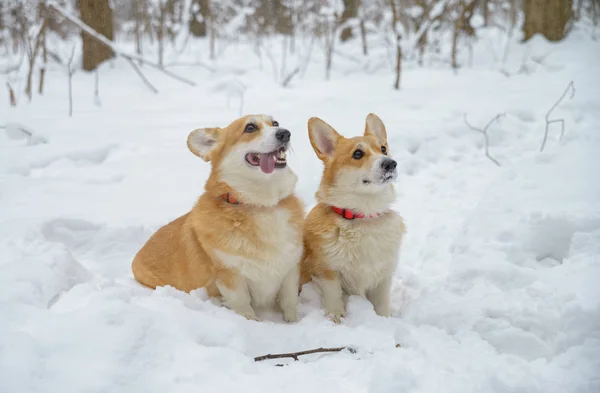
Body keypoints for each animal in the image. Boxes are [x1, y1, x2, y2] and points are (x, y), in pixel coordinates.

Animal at [131, 114, 302, 322]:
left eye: (275, 123)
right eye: (250, 128)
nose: (285, 133)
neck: (260, 205)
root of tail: (139, 253)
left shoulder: (289, 270)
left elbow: (289, 302)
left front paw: (293, 323)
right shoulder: (230, 277)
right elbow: (244, 307)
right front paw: (253, 323)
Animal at [302, 112, 406, 322]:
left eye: (383, 149)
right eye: (357, 154)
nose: (390, 163)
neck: (364, 217)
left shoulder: (383, 276)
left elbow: (382, 304)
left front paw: (385, 320)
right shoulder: (327, 271)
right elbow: (334, 296)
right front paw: (336, 319)